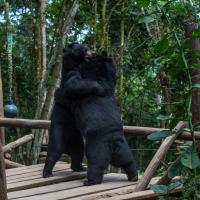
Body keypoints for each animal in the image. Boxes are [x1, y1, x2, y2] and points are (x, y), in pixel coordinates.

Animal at [63, 48, 138, 186]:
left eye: (94, 54)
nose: (91, 52)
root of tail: (114, 144)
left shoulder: (89, 81)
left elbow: (74, 84)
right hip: (124, 150)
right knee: (128, 161)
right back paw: (134, 176)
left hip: (97, 148)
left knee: (96, 165)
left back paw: (89, 181)